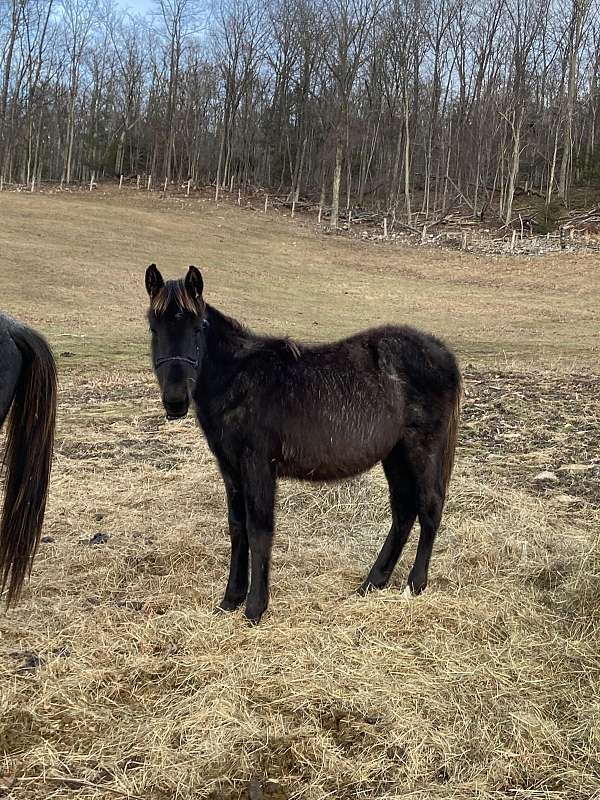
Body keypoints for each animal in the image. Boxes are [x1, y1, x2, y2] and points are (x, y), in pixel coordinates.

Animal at [146, 266, 464, 620]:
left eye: (198, 326)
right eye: (153, 326)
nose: (175, 401)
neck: (238, 379)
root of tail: (441, 352)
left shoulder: (258, 466)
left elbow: (259, 530)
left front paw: (254, 608)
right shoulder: (230, 468)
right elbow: (237, 528)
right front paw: (230, 600)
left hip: (421, 448)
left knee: (430, 505)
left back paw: (414, 584)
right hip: (395, 455)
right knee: (404, 509)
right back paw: (372, 583)